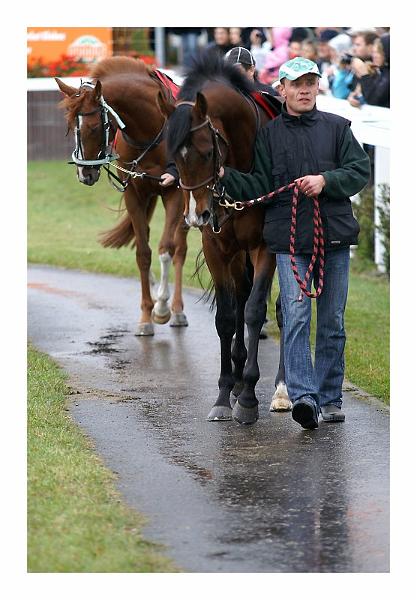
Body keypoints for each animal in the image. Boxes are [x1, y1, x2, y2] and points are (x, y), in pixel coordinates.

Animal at [54, 56, 187, 336]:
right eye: (71, 127)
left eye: (95, 127)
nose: (84, 173)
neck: (150, 129)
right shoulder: (135, 193)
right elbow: (143, 253)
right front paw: (146, 315)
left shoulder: (175, 192)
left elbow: (166, 248)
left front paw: (161, 308)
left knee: (180, 248)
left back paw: (177, 309)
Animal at [158, 54, 290, 424]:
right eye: (172, 155)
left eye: (205, 152)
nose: (196, 215)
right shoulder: (216, 247)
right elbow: (227, 317)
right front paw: (224, 391)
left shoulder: (265, 246)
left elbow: (256, 311)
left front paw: (248, 397)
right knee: (240, 296)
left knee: (278, 307)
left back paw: (279, 389)